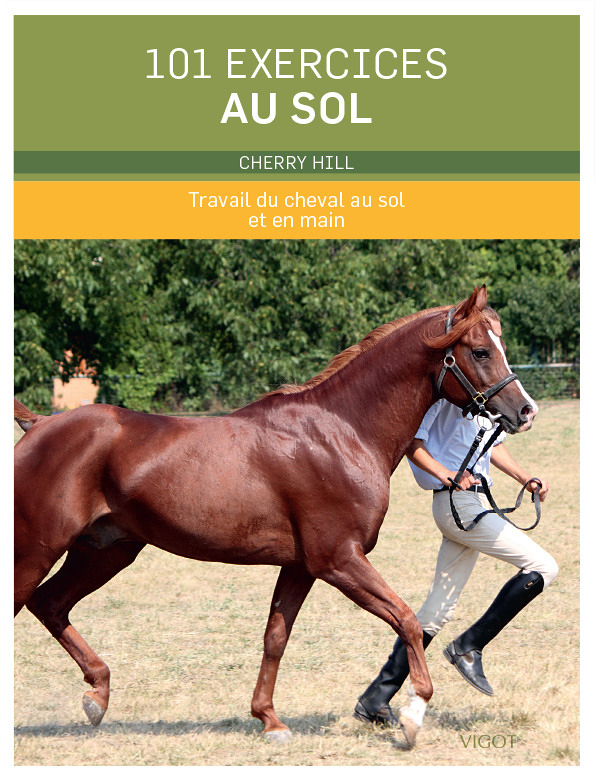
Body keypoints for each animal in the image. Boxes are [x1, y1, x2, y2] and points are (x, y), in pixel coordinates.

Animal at [14, 285, 537, 748]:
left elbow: (275, 638)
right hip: (36, 552)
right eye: (480, 351)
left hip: (105, 552)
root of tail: (39, 425)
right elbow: (407, 619)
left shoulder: (300, 566)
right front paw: (412, 716)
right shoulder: (338, 560)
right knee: (33, 602)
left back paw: (97, 695)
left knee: (51, 605)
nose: (524, 411)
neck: (343, 431)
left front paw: (268, 720)